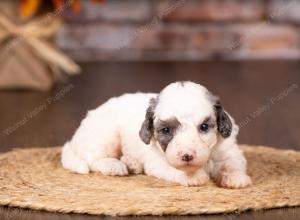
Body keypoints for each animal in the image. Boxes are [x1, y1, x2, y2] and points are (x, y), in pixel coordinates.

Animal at [62, 81, 252, 188]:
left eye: (204, 127)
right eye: (166, 130)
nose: (187, 156)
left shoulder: (229, 151)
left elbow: (232, 163)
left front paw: (236, 178)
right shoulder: (156, 161)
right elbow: (173, 168)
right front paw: (194, 177)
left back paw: (132, 163)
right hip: (106, 136)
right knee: (92, 159)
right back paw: (113, 165)